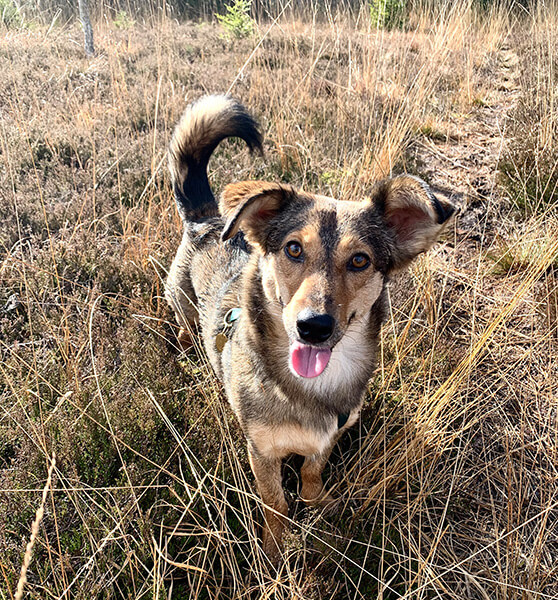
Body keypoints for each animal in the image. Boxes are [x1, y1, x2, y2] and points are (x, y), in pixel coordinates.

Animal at [165, 95, 454, 563]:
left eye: (360, 260)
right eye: (293, 249)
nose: (312, 327)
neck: (316, 387)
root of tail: (206, 221)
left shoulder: (330, 437)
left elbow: (312, 472)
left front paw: (319, 503)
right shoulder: (262, 451)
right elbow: (276, 502)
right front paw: (274, 549)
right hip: (183, 305)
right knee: (186, 331)